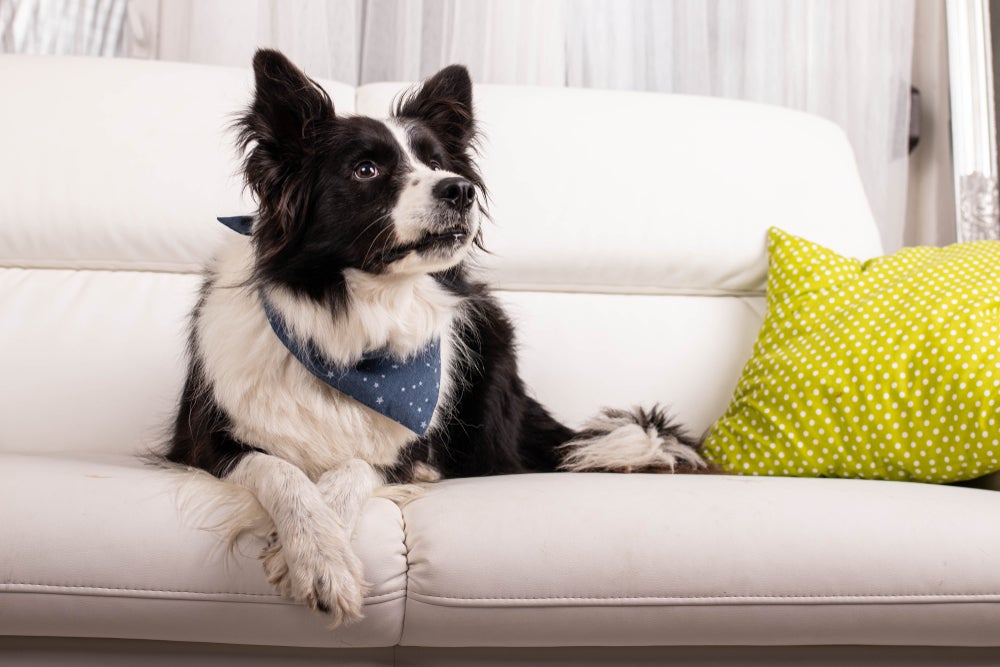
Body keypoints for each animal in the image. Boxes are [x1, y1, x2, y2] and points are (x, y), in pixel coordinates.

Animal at [166, 49, 704, 628]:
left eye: (438, 161)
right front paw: (318, 556)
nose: (460, 189)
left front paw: (322, 553)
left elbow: (356, 465)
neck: (354, 325)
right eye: (365, 169)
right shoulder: (202, 441)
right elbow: (281, 470)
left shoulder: (402, 437)